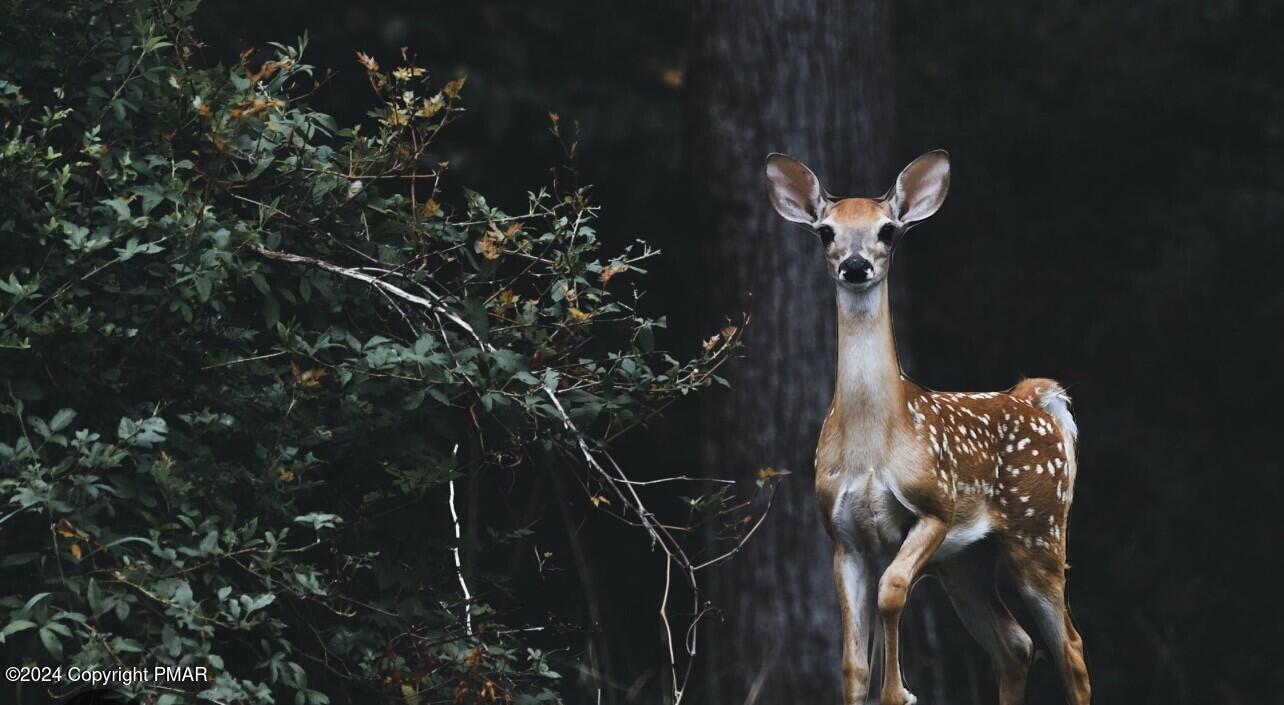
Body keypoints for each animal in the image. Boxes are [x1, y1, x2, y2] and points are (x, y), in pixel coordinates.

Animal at [765, 149, 1088, 703]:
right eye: (826, 232)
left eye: (888, 230)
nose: (855, 266)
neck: (873, 445)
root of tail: (1035, 397)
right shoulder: (843, 535)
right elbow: (853, 665)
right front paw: (881, 684)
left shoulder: (934, 505)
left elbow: (891, 594)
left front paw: (901, 691)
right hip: (966, 561)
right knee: (1016, 644)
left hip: (1039, 530)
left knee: (1070, 648)